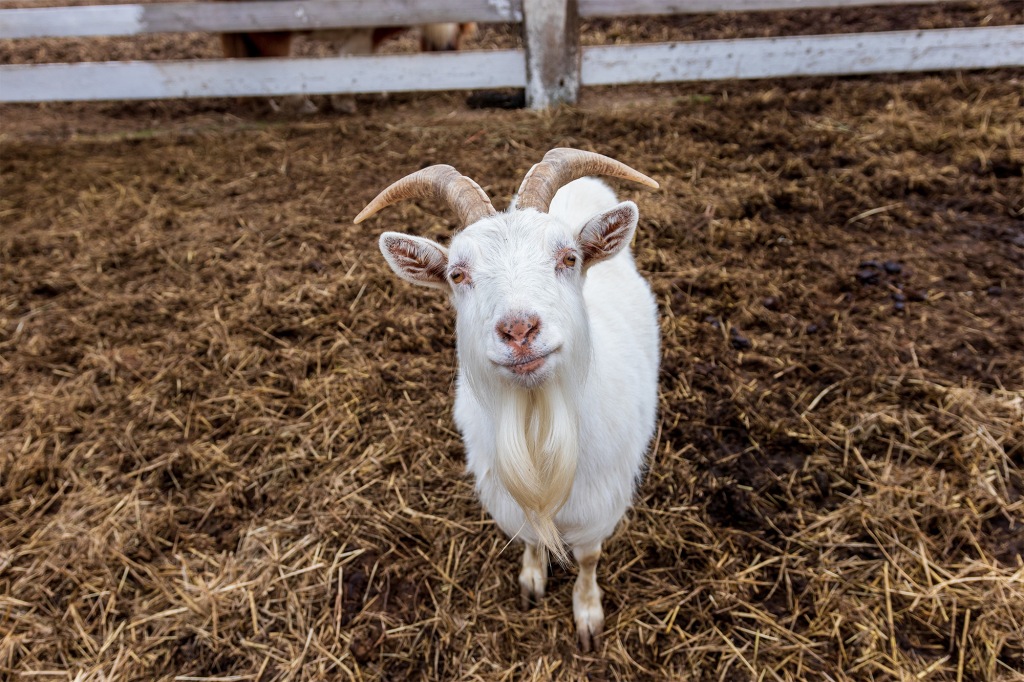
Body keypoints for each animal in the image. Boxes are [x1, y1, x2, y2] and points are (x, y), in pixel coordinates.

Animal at [356, 147, 659, 647]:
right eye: (458, 274)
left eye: (569, 257)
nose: (519, 330)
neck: (537, 417)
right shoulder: (512, 502)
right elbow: (533, 540)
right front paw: (532, 582)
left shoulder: (601, 507)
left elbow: (589, 558)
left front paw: (588, 615)